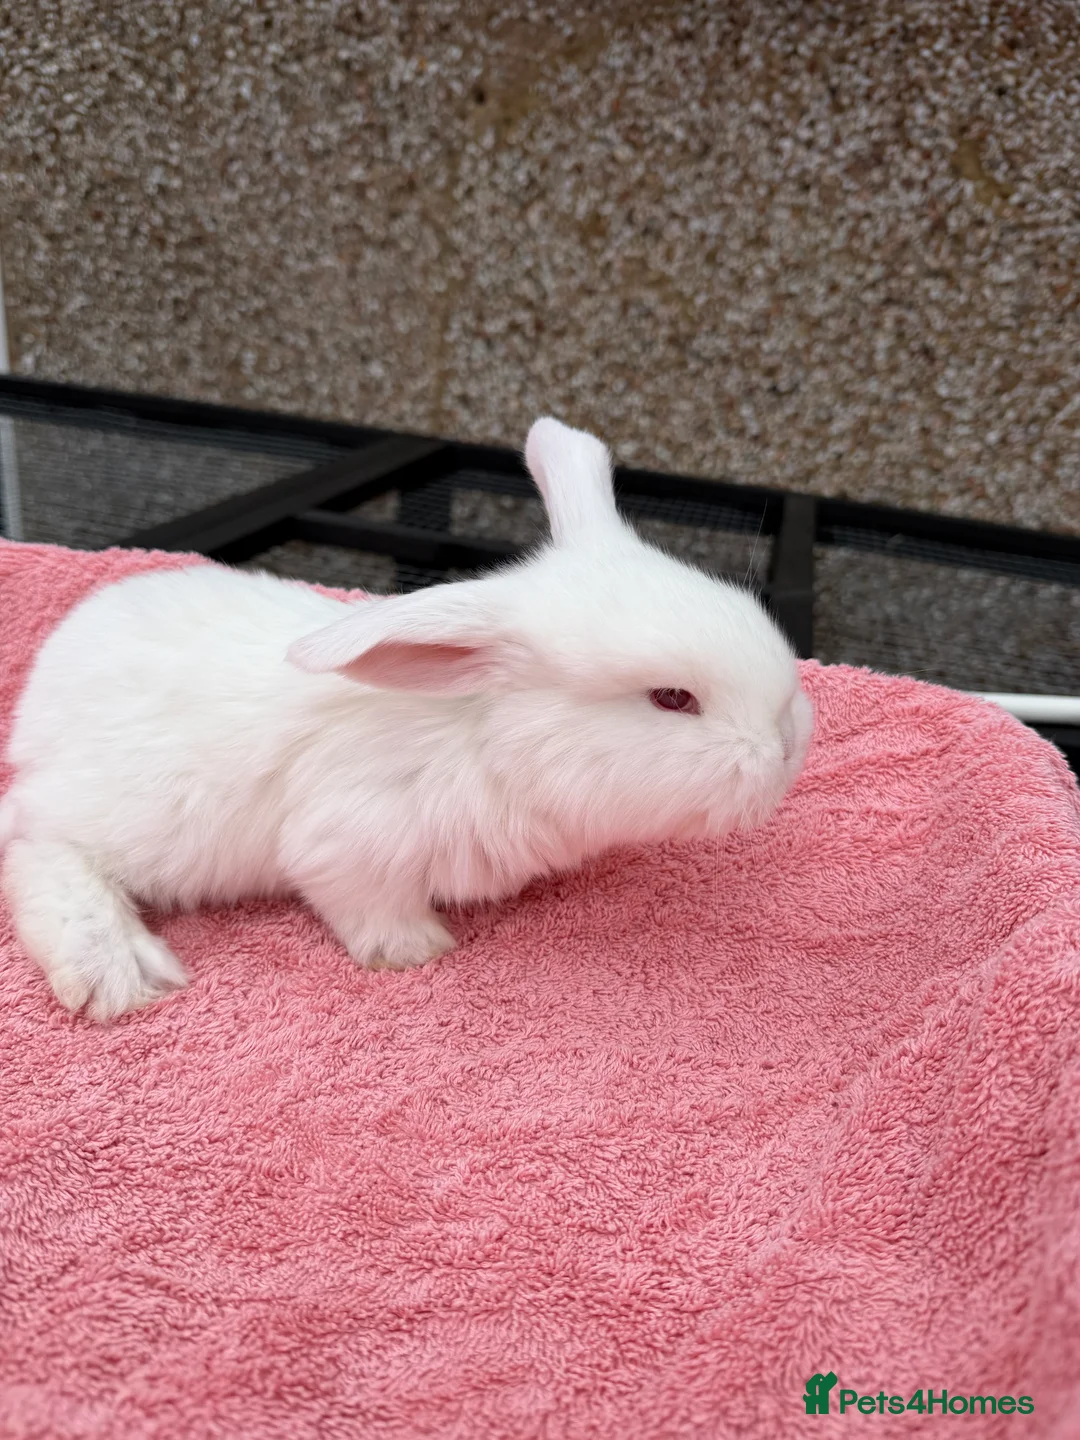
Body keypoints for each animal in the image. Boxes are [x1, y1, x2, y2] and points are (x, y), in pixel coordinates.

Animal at [0, 417, 813, 1021]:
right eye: (671, 698)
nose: (787, 744)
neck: (484, 742)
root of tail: (40, 698)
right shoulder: (346, 840)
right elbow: (361, 901)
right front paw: (418, 951)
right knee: (35, 846)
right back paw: (119, 975)